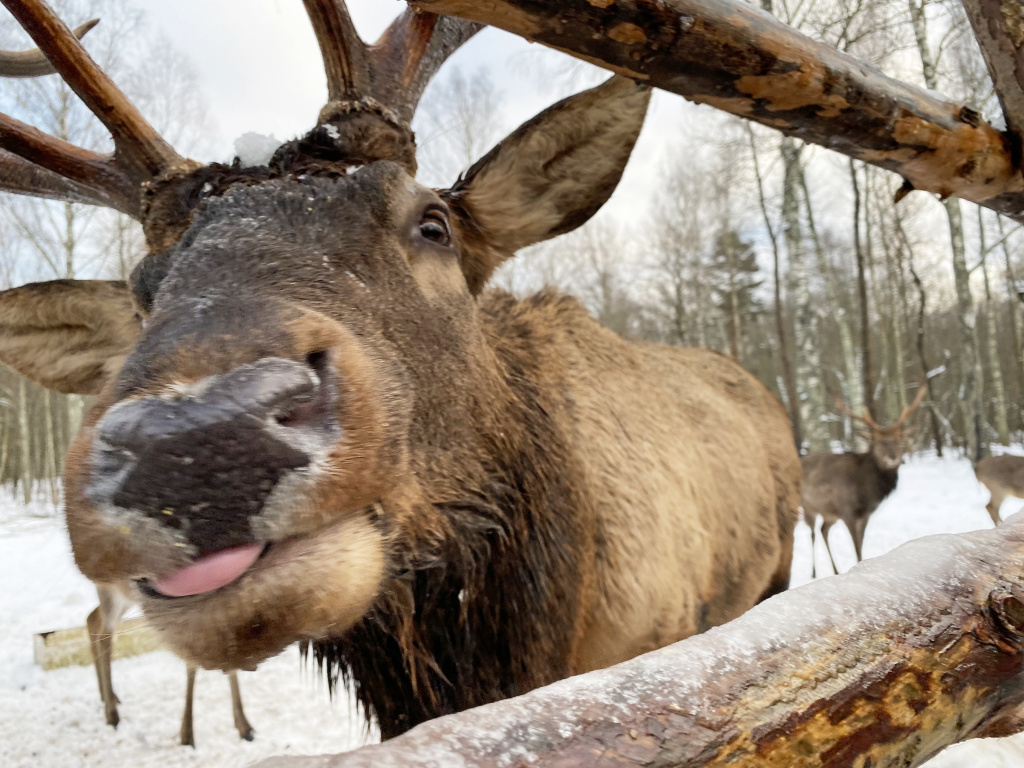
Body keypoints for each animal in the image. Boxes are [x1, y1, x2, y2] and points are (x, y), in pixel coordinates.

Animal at [798, 391, 929, 577]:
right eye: (879, 442)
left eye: (898, 440)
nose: (893, 457)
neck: (866, 490)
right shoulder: (848, 512)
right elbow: (856, 548)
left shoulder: (865, 515)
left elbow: (860, 546)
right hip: (808, 507)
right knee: (812, 533)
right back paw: (814, 573)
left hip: (830, 513)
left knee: (823, 530)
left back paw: (836, 570)